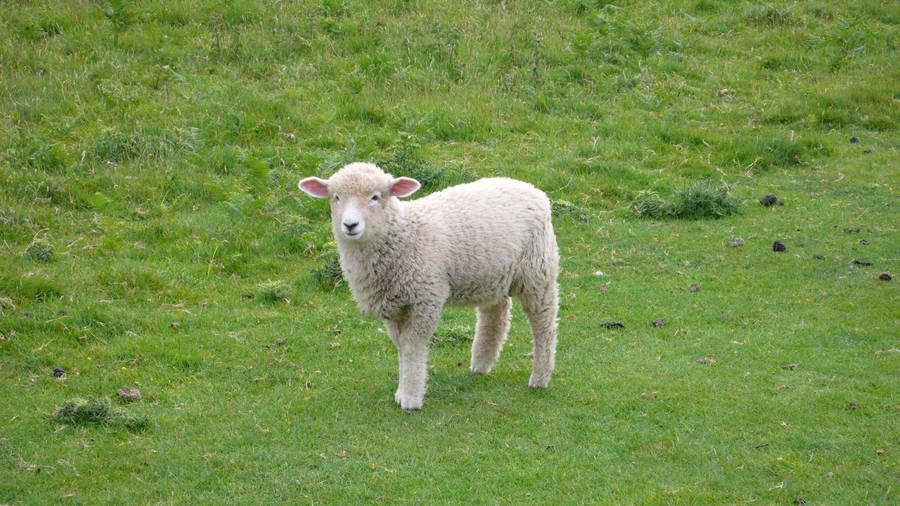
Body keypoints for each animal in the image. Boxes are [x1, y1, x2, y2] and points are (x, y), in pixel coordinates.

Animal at [299, 162, 559, 411]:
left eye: (375, 197)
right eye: (336, 197)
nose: (350, 225)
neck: (405, 233)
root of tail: (530, 188)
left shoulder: (425, 298)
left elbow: (412, 347)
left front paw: (411, 398)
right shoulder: (393, 306)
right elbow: (401, 346)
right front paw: (402, 391)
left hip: (538, 271)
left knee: (544, 325)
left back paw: (540, 378)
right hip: (492, 274)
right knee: (495, 315)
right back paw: (481, 364)